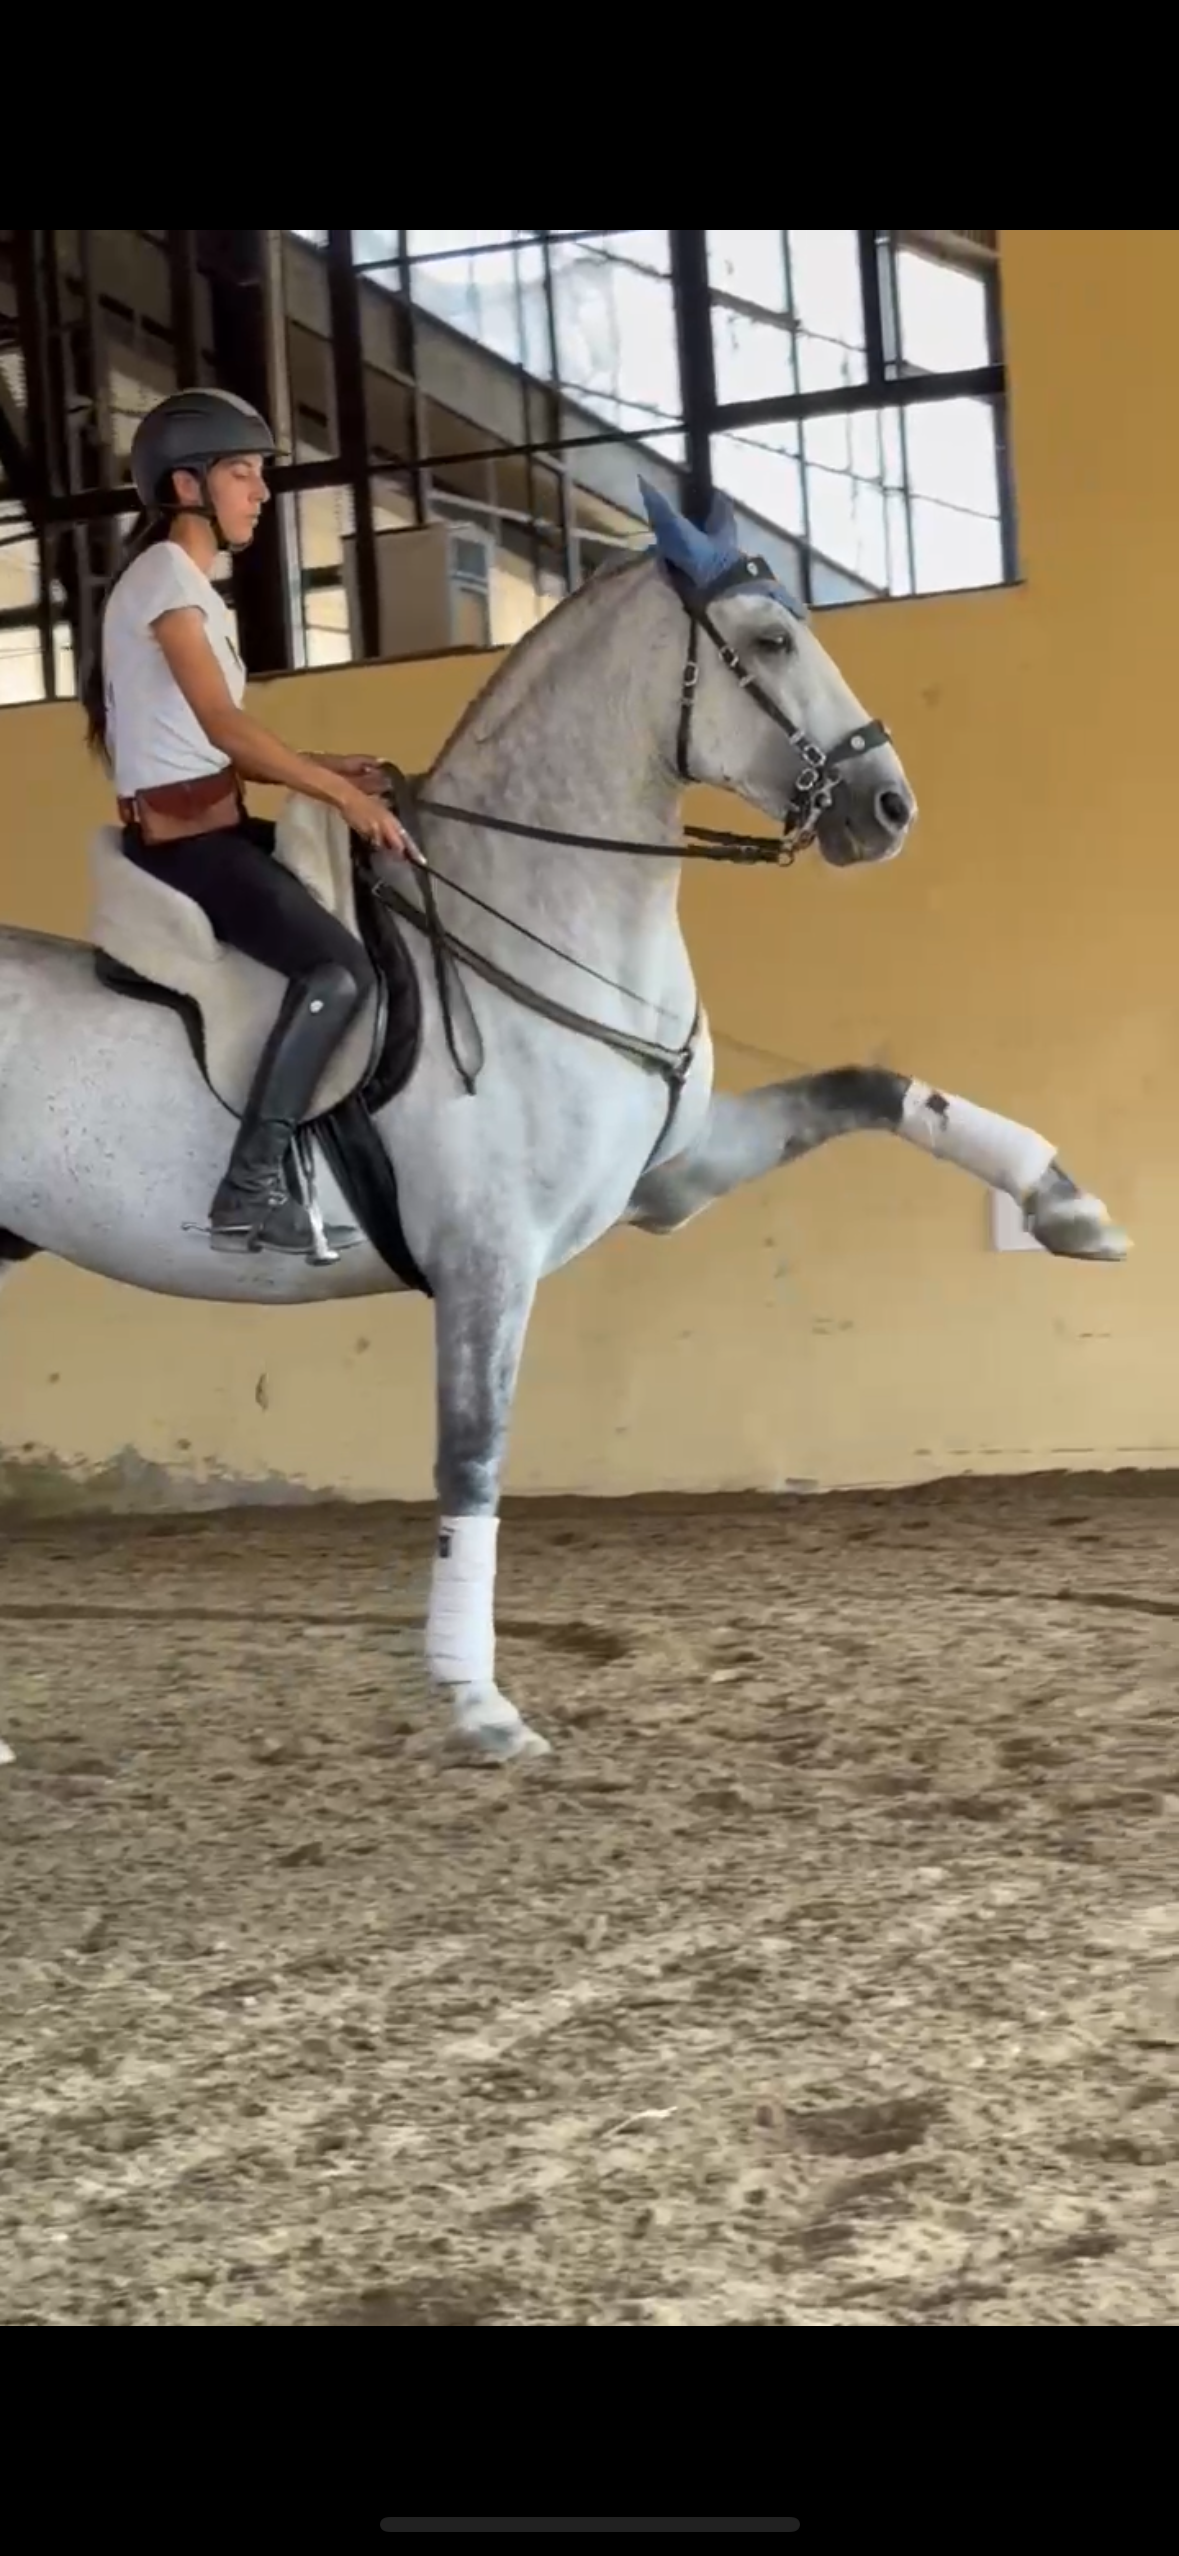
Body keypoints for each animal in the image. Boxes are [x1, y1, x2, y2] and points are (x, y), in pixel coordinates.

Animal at [0, 481, 1127, 1770]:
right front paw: (479, 1701)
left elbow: (874, 1089)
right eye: (771, 642)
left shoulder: (673, 1177)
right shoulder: (489, 1260)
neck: (537, 923)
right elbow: (473, 1454)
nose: (887, 807)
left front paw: (1067, 1206)